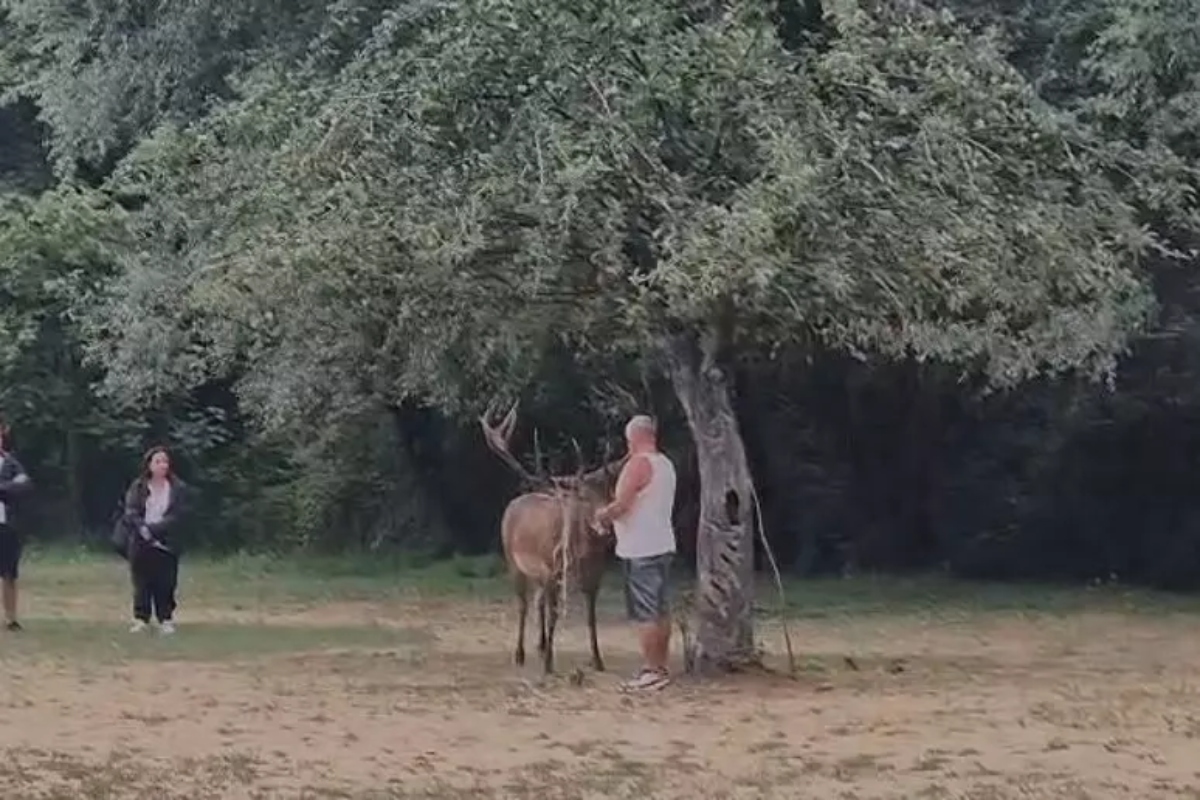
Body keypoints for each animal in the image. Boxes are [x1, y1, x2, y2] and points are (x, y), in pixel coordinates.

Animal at [479, 400, 624, 675]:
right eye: (583, 498)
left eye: (608, 494)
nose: (605, 526)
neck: (580, 553)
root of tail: (515, 501)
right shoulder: (551, 568)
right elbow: (555, 613)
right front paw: (548, 665)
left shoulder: (595, 572)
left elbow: (591, 615)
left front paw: (597, 659)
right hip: (513, 559)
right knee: (524, 604)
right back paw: (521, 653)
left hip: (538, 572)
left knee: (538, 602)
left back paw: (542, 644)